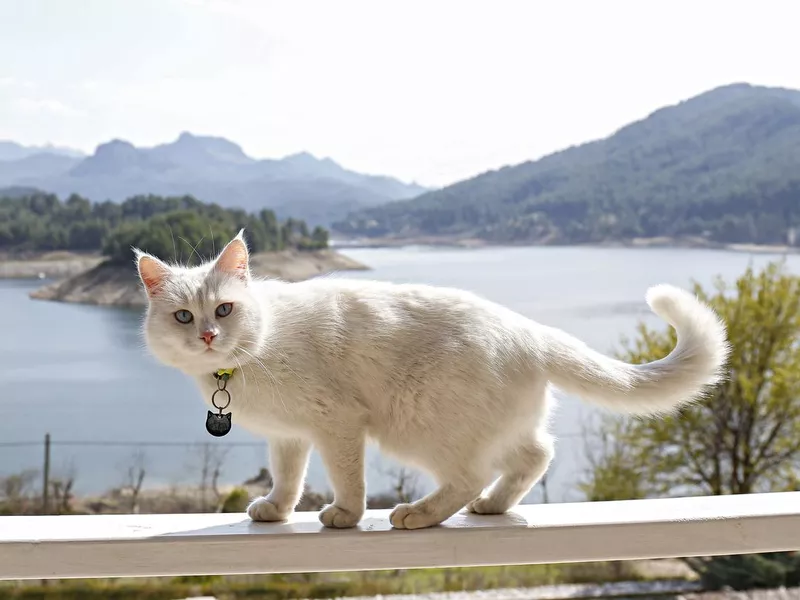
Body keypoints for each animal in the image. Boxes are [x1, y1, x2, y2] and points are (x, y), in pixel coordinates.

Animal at [136, 231, 732, 528]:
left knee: (471, 474)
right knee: (535, 455)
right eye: (184, 316)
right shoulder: (289, 437)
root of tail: (530, 331)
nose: (208, 335)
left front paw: (345, 515)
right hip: (495, 426)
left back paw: (419, 514)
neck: (247, 359)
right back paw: (493, 506)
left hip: (414, 422)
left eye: (225, 309)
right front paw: (276, 512)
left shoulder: (338, 424)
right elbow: (288, 479)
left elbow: (347, 480)